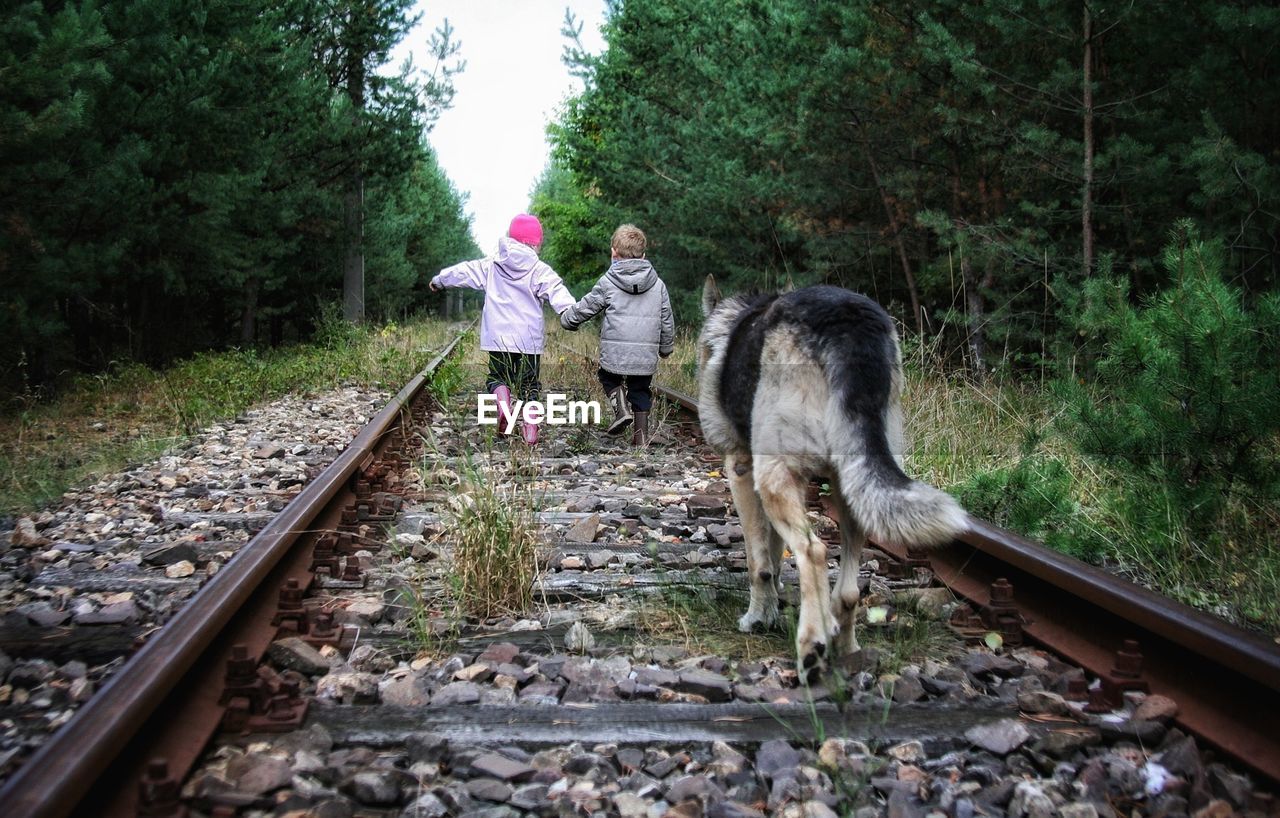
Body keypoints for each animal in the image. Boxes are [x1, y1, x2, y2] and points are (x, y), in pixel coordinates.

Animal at [701, 275, 967, 675]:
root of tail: (849, 323)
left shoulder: (742, 470)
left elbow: (759, 563)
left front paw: (758, 617)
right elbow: (775, 555)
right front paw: (775, 604)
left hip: (777, 474)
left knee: (813, 551)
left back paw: (812, 646)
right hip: (851, 483)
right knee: (848, 590)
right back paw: (846, 647)